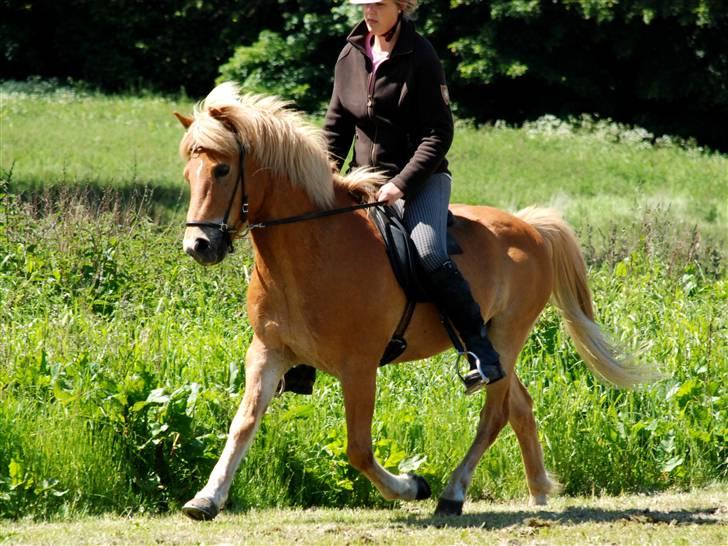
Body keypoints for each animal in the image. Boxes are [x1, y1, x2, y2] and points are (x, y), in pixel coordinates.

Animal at [172, 81, 656, 520]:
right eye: (188, 175)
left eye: (222, 171)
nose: (198, 246)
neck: (313, 246)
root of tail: (530, 227)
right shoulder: (268, 352)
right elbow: (243, 424)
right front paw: (206, 499)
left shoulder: (359, 366)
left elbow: (358, 449)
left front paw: (411, 486)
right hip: (487, 341)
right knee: (519, 405)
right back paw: (538, 489)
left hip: (506, 335)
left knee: (495, 414)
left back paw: (453, 493)